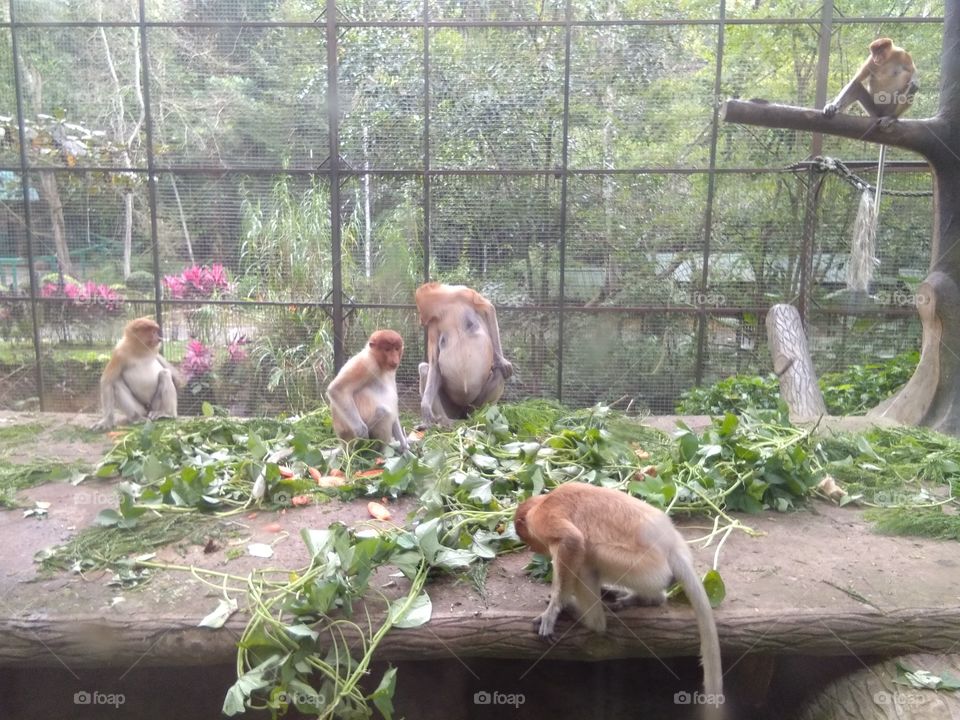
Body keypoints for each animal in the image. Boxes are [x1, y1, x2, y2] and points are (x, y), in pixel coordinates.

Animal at [414, 282, 513, 427]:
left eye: (420, 308)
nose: (420, 319)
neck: (446, 308)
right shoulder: (433, 326)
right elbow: (434, 364)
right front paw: (425, 407)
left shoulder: (463, 292)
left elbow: (488, 308)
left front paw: (501, 360)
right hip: (452, 408)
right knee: (425, 369)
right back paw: (445, 422)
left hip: (473, 404)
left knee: (499, 372)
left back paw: (481, 415)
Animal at [514, 482, 723, 701]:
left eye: (524, 535)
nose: (532, 548)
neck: (544, 500)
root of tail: (671, 546)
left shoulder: (541, 518)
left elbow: (571, 540)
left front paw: (554, 610)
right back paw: (643, 598)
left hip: (642, 566)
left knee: (587, 559)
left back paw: (590, 619)